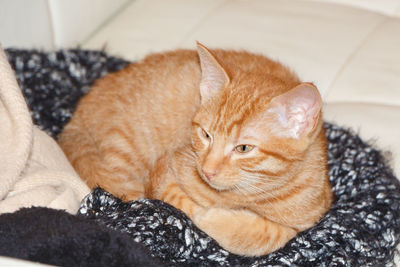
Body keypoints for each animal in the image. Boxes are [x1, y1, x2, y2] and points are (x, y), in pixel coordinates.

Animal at [57, 43, 332, 256]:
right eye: (206, 135)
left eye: (243, 148)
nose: (207, 170)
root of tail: (77, 118)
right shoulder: (164, 171)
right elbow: (182, 204)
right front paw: (208, 217)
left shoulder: (312, 214)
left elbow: (275, 234)